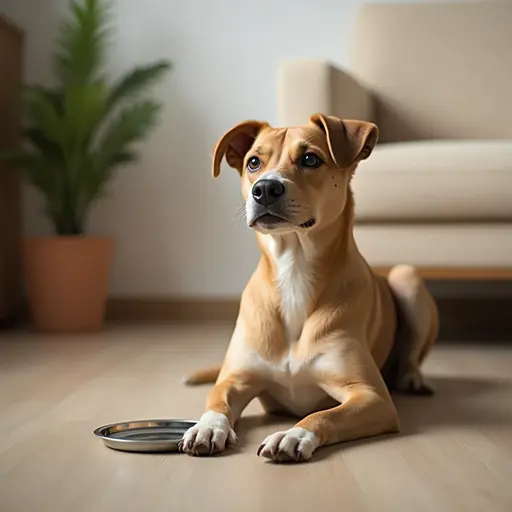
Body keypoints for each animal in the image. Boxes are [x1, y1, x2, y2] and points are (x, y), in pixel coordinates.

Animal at [178, 114, 438, 462]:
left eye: (310, 159)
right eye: (253, 162)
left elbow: (325, 415)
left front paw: (293, 434)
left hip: (406, 278)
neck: (294, 270)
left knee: (411, 355)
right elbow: (216, 400)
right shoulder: (236, 379)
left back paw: (412, 378)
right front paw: (207, 427)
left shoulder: (371, 397)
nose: (265, 188)